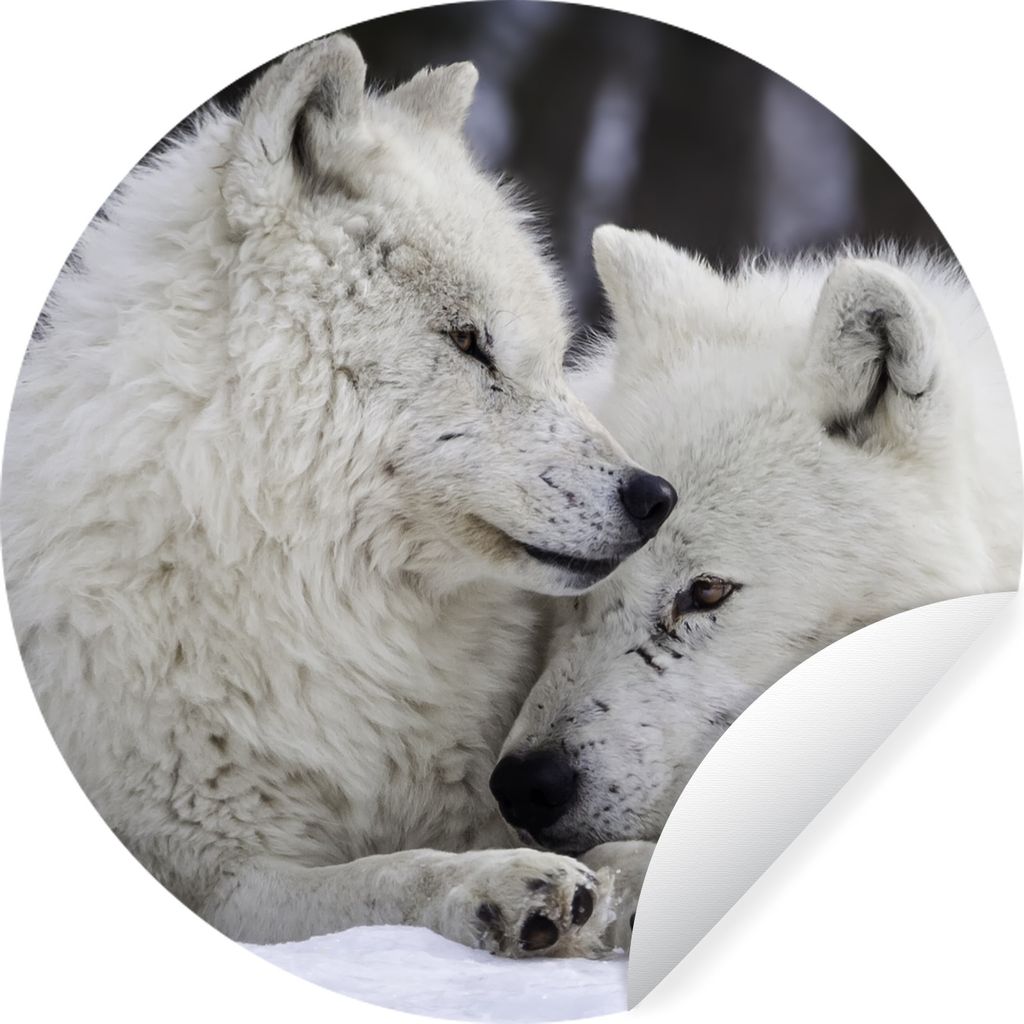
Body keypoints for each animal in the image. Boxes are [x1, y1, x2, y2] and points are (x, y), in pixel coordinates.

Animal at [1, 39, 679, 957]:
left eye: (550, 354)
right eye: (468, 342)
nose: (656, 497)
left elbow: (621, 850)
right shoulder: (216, 879)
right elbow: (384, 876)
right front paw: (495, 886)